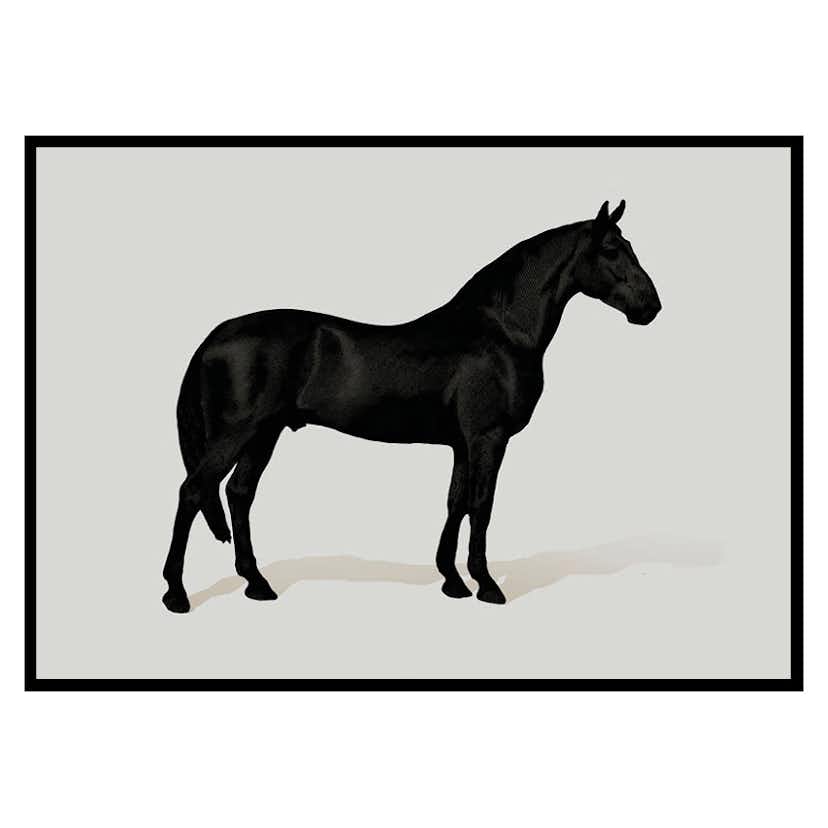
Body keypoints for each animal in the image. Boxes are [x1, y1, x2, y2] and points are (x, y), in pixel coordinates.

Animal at [162, 199, 661, 613]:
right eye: (612, 250)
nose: (651, 306)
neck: (501, 331)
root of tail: (215, 335)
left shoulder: (462, 443)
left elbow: (455, 503)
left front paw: (453, 582)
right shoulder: (488, 437)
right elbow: (482, 505)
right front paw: (487, 586)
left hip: (264, 434)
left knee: (238, 494)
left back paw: (257, 584)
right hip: (239, 432)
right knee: (193, 491)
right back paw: (176, 594)